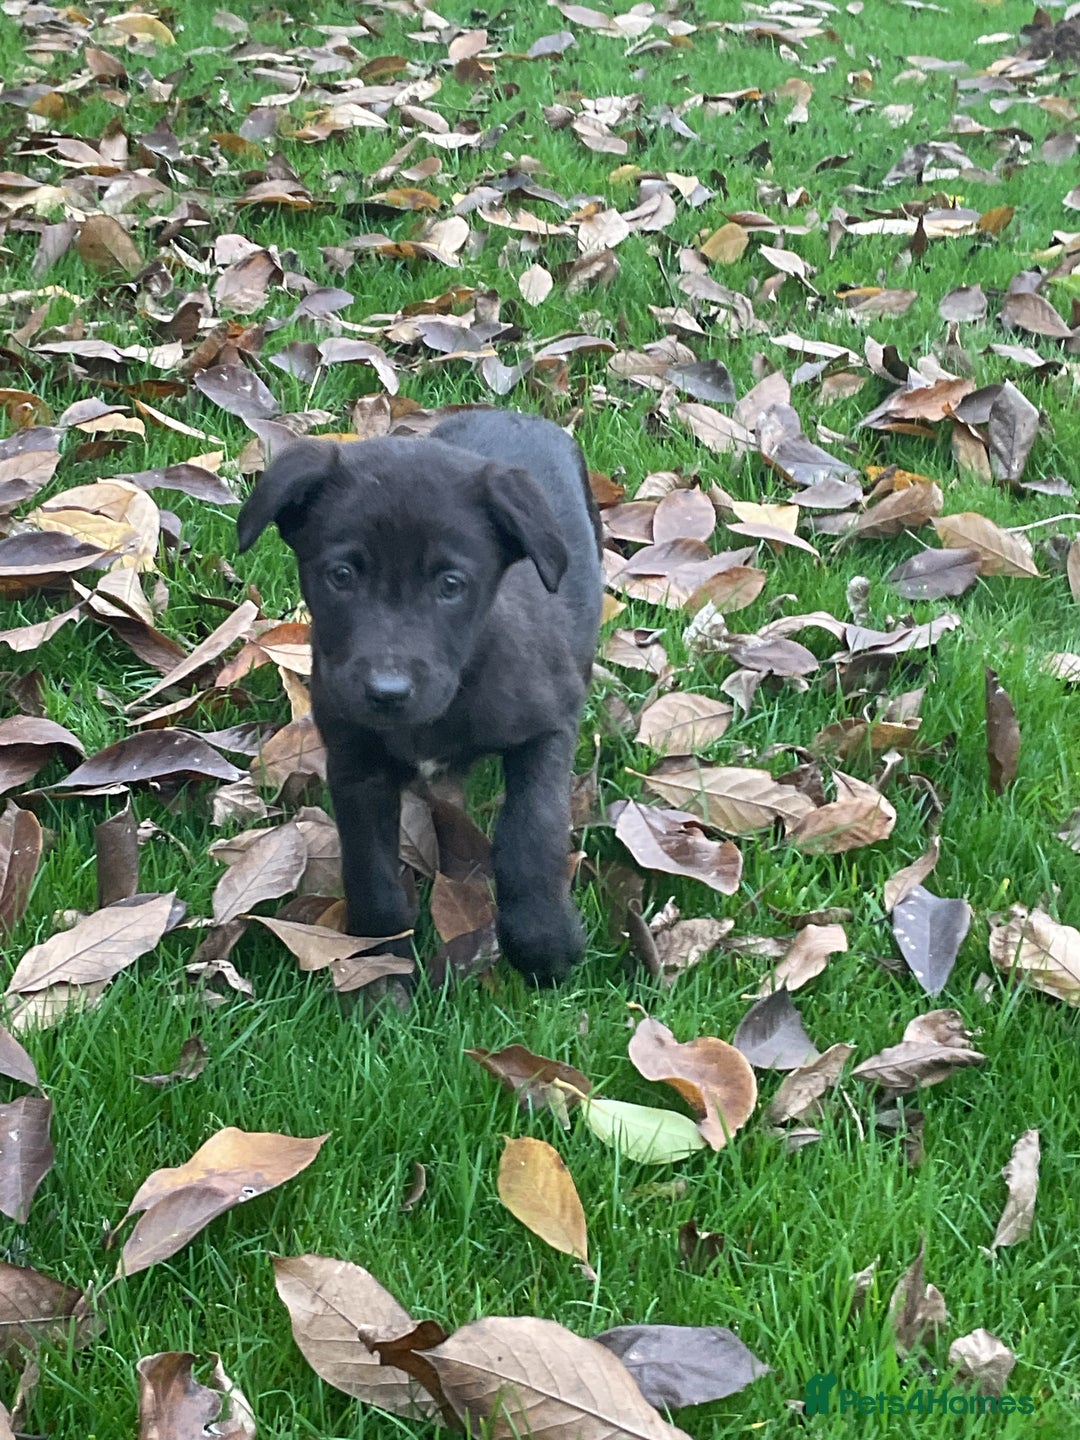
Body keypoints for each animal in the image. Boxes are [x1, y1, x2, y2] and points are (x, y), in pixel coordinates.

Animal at [237, 408, 603, 984]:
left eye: (451, 584)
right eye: (341, 575)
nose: (387, 693)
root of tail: (512, 413)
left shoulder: (548, 729)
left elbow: (532, 832)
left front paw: (544, 943)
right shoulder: (355, 762)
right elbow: (372, 875)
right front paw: (381, 972)